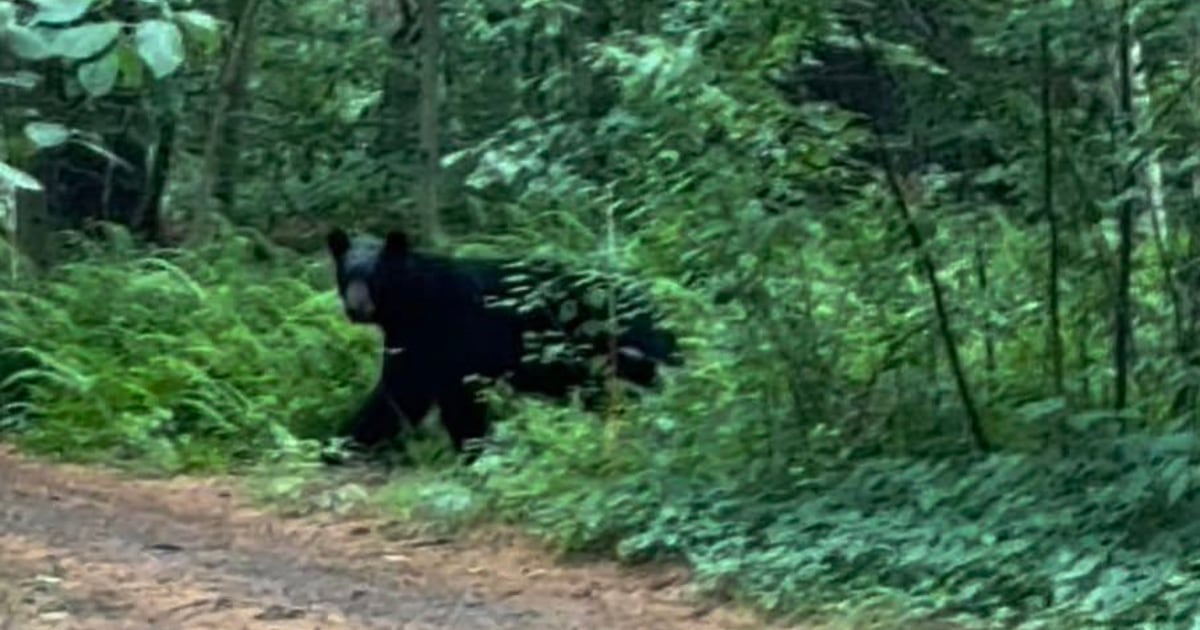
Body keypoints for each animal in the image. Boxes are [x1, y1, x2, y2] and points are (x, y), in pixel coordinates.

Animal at [325, 226, 682, 457]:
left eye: (375, 276)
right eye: (347, 274)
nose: (356, 307)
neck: (413, 302)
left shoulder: (445, 331)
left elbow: (425, 392)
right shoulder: (409, 339)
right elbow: (404, 392)